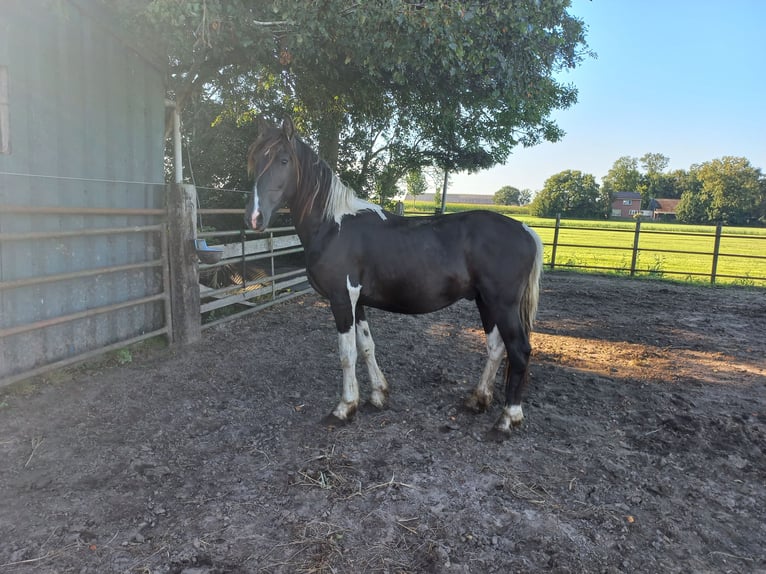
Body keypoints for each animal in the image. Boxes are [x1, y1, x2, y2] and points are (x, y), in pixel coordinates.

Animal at [246, 119, 544, 438]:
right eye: (255, 160)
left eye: (283, 160)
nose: (254, 218)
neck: (333, 226)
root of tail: (525, 229)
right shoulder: (357, 301)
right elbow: (366, 347)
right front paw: (378, 395)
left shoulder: (341, 299)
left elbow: (347, 353)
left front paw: (344, 408)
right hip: (485, 302)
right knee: (496, 348)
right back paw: (478, 399)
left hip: (502, 304)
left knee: (519, 351)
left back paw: (507, 419)